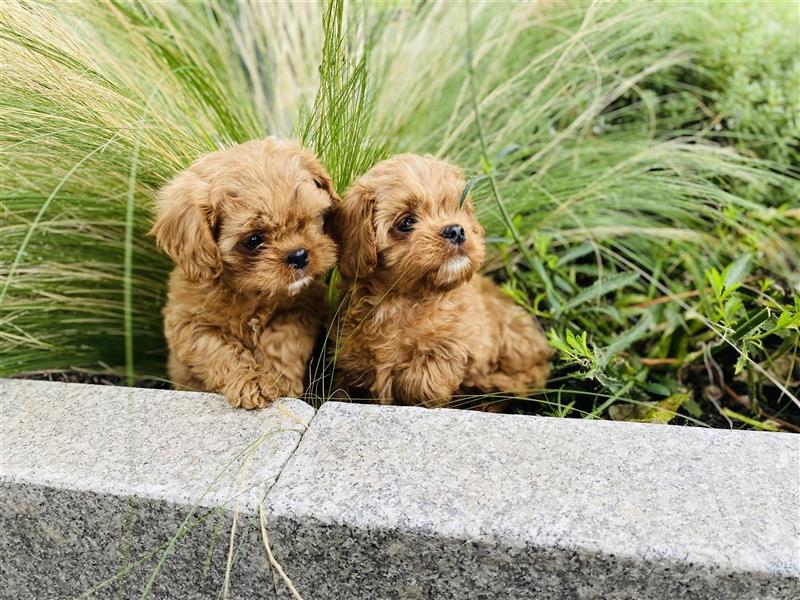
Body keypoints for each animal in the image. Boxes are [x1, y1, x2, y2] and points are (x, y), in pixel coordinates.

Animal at [152, 137, 338, 408]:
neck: (252, 291)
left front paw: (279, 379)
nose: (299, 255)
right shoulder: (188, 324)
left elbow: (282, 338)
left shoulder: (305, 304)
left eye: (309, 218)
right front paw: (253, 382)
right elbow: (219, 351)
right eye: (253, 240)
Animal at [328, 152, 552, 410]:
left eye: (457, 209)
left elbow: (427, 376)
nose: (456, 230)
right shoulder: (349, 355)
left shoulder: (457, 340)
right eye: (406, 222)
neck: (403, 300)